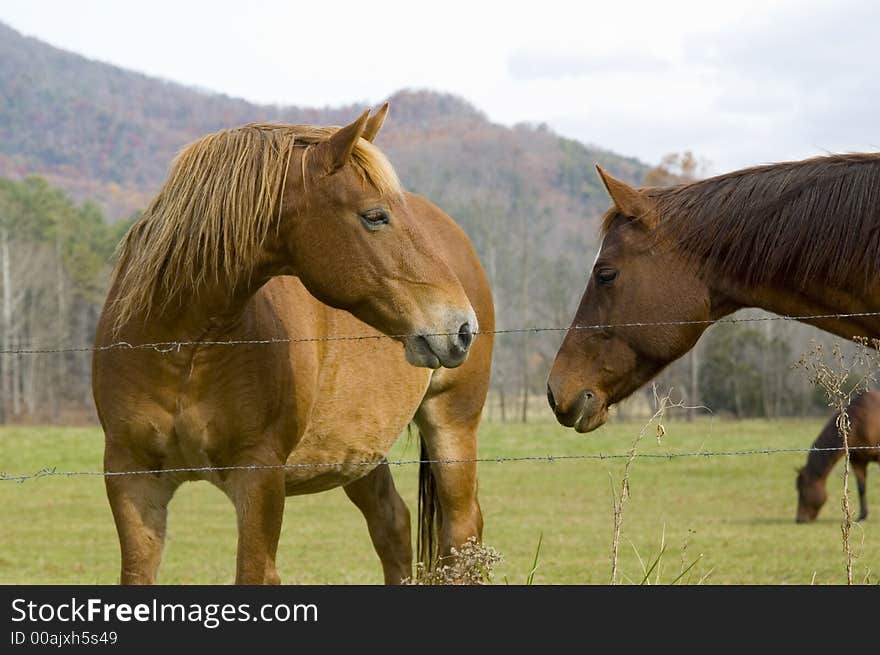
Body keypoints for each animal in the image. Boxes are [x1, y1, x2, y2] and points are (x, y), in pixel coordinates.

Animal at [97, 106, 498, 584]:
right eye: (375, 216)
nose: (462, 326)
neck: (183, 348)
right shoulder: (131, 478)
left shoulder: (260, 477)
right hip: (359, 452)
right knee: (393, 526)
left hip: (452, 427)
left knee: (462, 534)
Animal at [796, 390, 880, 524]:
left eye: (803, 491)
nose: (800, 519)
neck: (863, 420)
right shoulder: (858, 461)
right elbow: (861, 489)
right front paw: (862, 516)